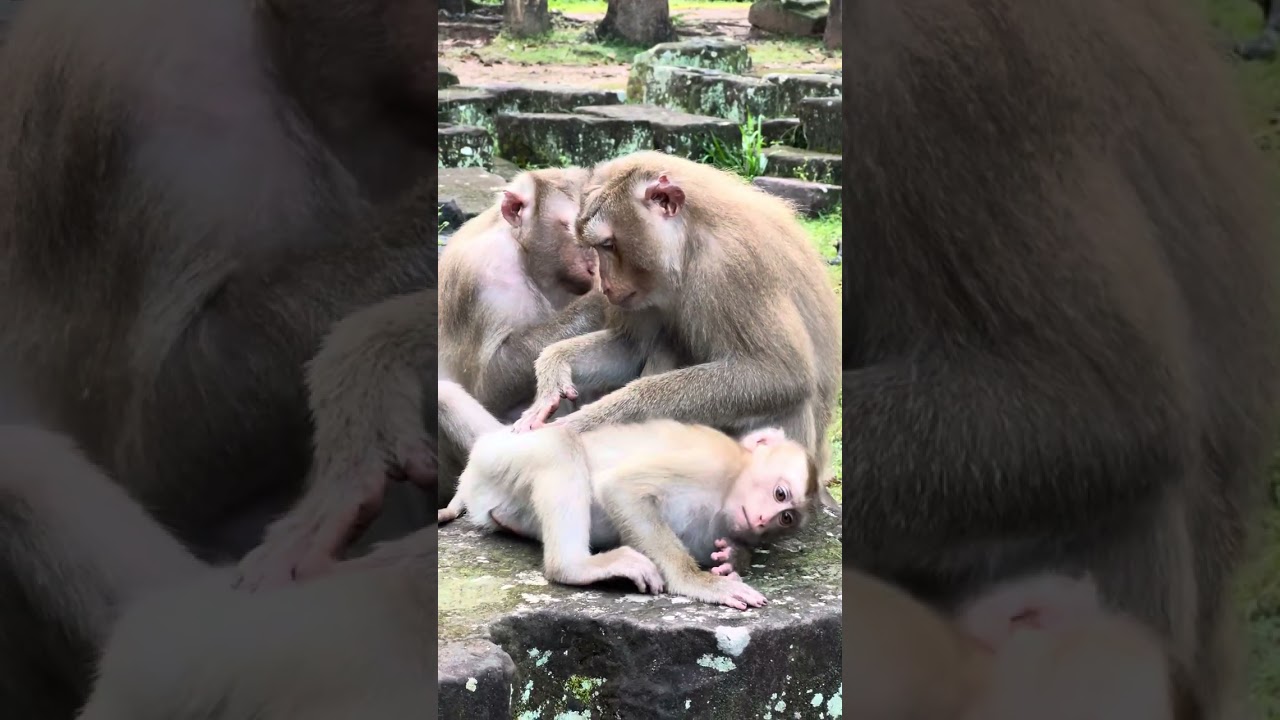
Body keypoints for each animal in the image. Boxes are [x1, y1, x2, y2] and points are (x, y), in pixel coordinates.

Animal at [438, 394, 820, 610]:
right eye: (780, 494)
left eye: (785, 519)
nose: (763, 520)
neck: (726, 493)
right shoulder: (711, 461)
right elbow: (621, 487)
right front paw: (699, 582)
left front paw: (734, 557)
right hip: (498, 456)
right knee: (561, 443)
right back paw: (573, 566)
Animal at [511, 151, 842, 505]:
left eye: (608, 244)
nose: (606, 286)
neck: (687, 249)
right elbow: (630, 347)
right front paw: (552, 372)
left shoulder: (734, 267)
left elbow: (780, 374)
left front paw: (594, 421)